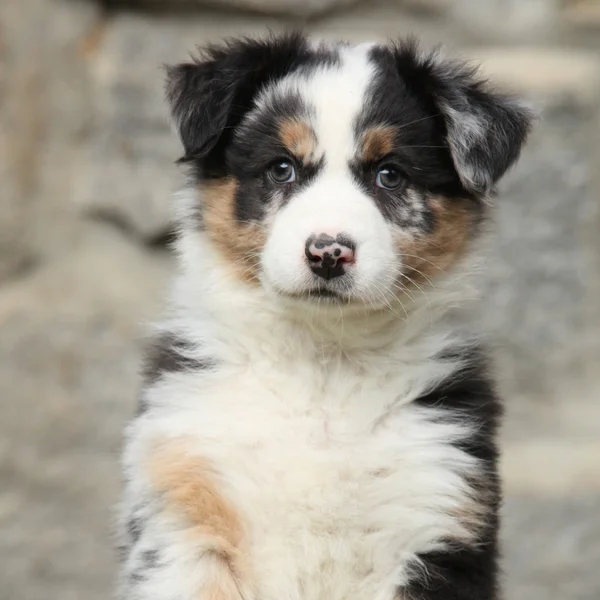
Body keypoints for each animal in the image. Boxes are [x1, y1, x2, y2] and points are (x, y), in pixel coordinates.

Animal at [116, 31, 528, 600]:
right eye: (281, 168)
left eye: (389, 174)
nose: (329, 252)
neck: (324, 364)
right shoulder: (186, 508)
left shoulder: (436, 508)